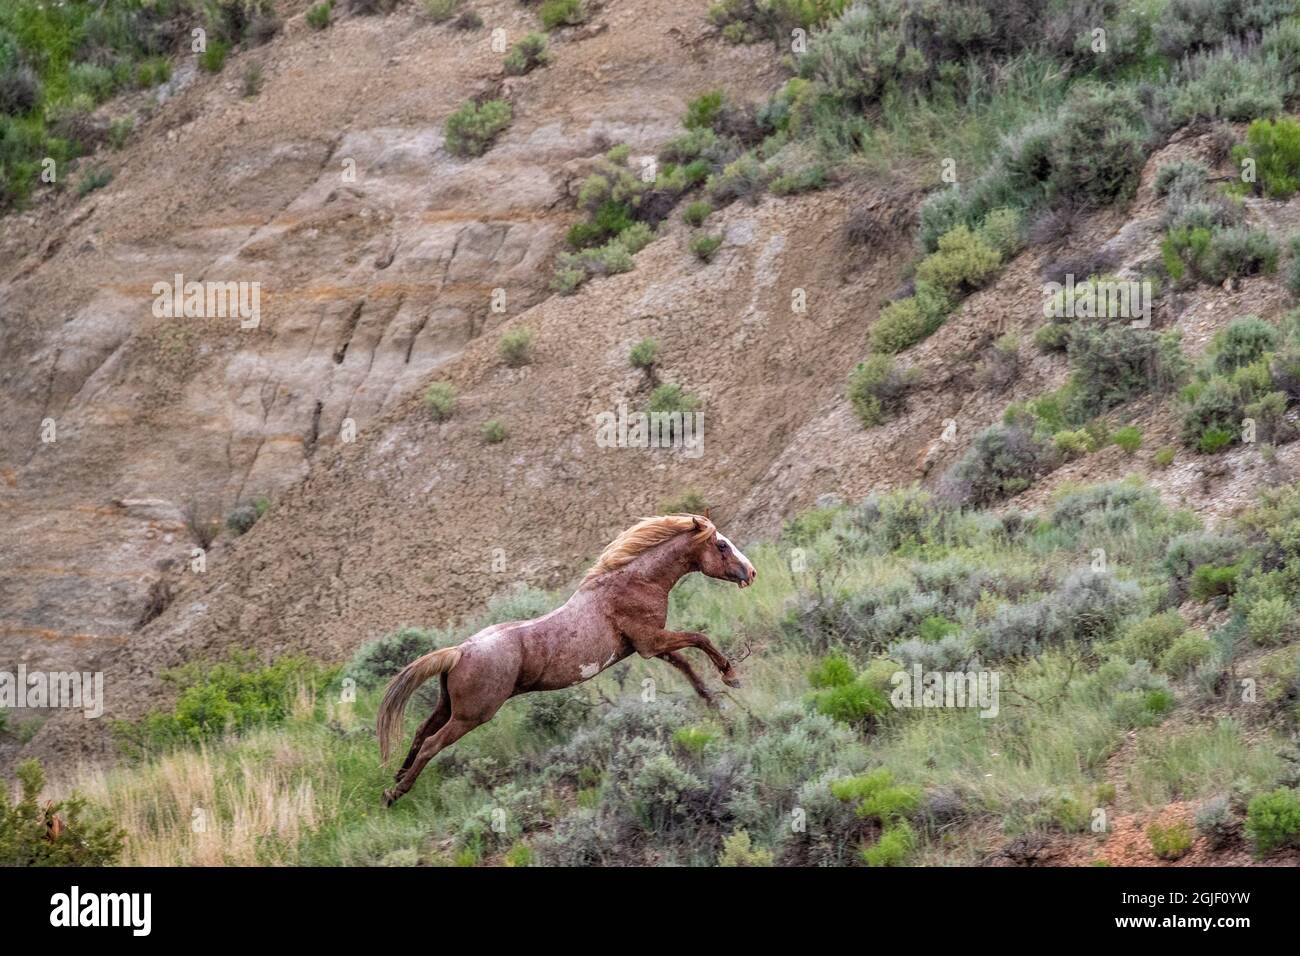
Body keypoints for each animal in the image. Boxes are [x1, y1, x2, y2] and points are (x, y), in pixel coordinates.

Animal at [377, 515, 759, 806]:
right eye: (721, 545)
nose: (751, 573)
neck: (635, 582)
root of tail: (459, 652)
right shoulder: (651, 641)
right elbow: (701, 639)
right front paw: (732, 676)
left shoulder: (651, 644)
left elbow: (687, 666)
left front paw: (717, 704)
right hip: (472, 715)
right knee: (431, 743)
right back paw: (394, 794)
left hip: (448, 706)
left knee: (419, 732)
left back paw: (396, 776)